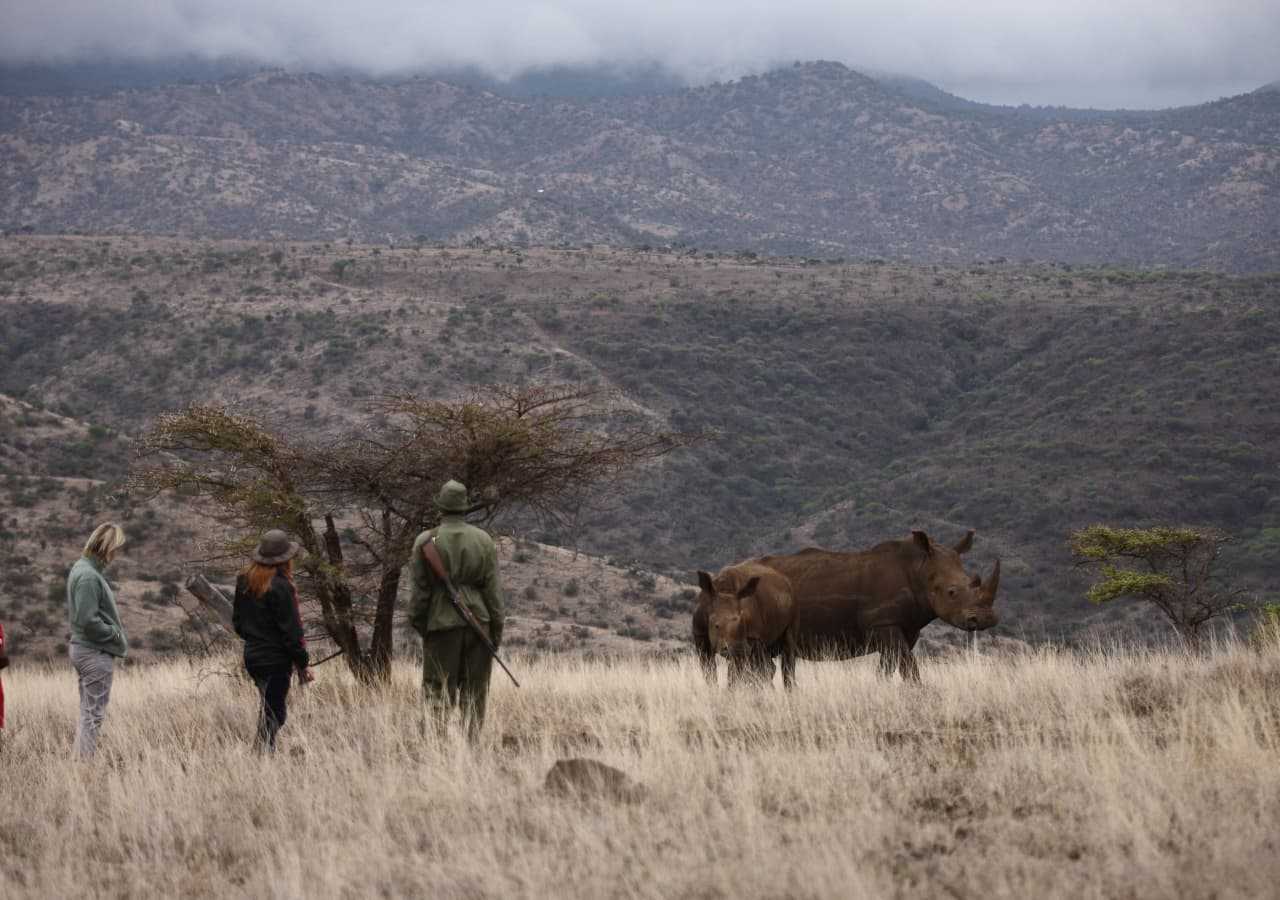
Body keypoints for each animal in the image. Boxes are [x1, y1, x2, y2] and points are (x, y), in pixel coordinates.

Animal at [752, 529, 1000, 681]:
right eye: (951, 592)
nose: (985, 619)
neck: (919, 569)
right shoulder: (884, 623)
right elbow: (909, 666)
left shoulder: (906, 627)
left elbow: (889, 668)